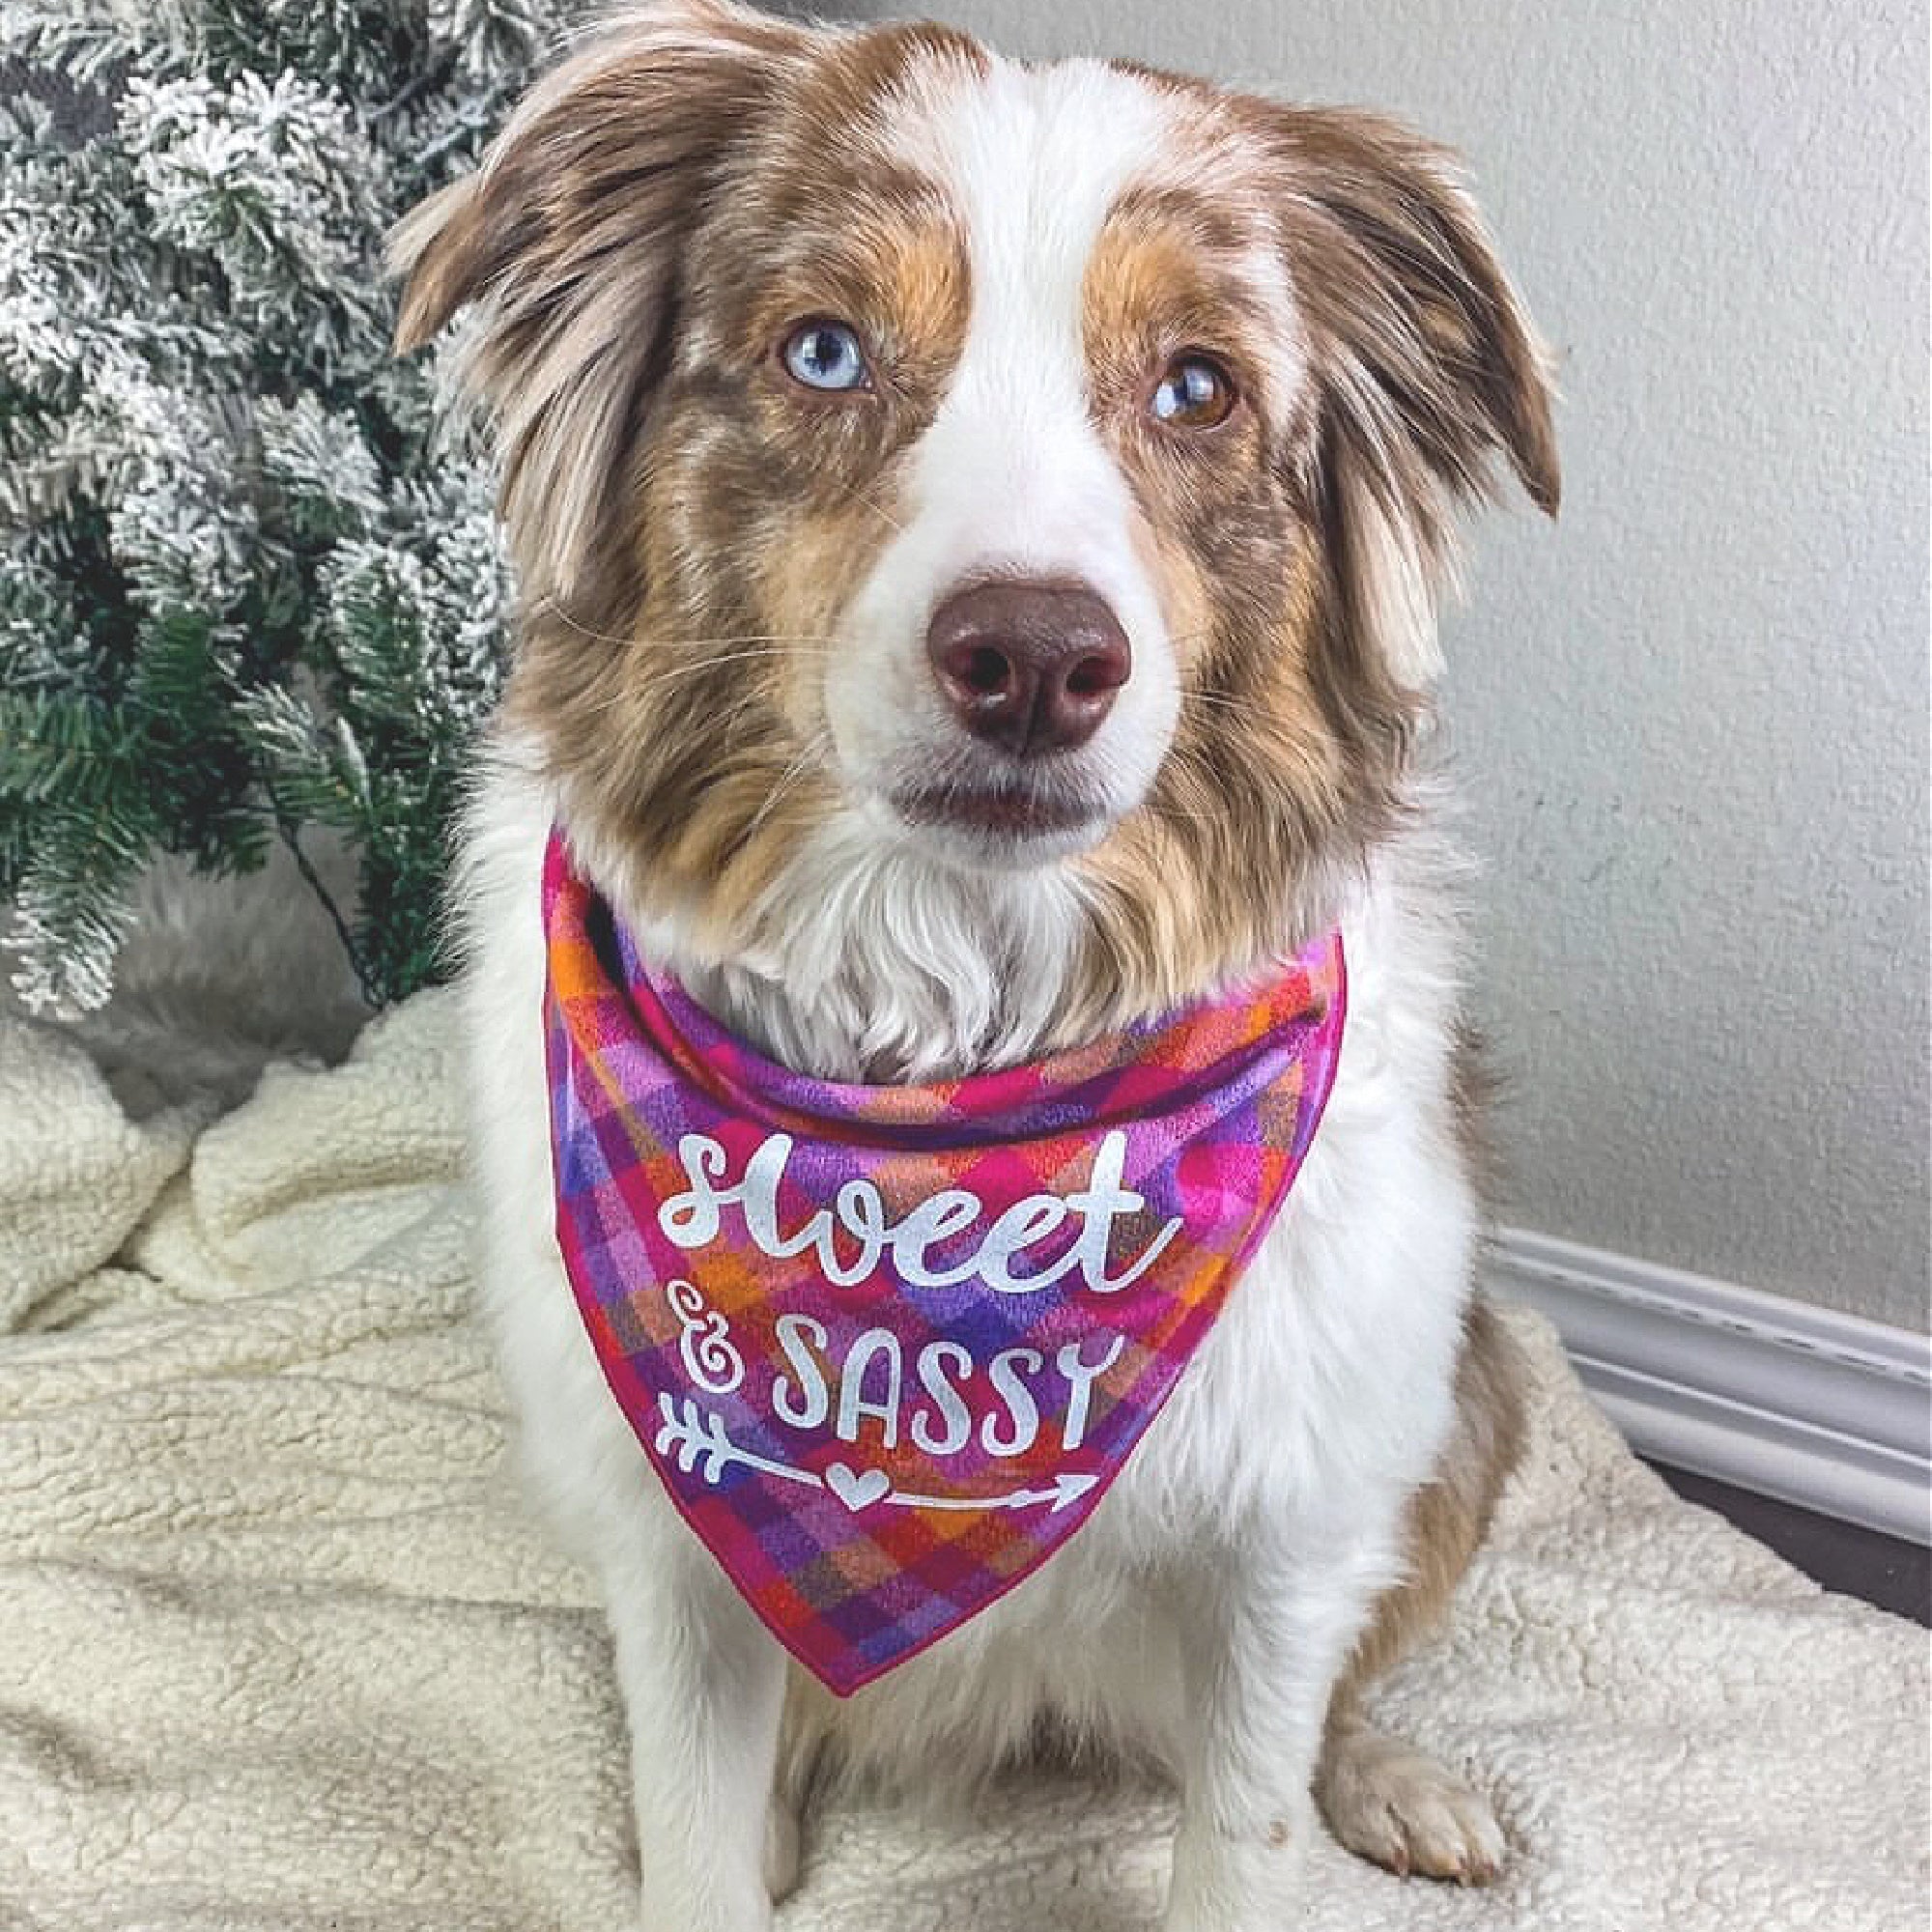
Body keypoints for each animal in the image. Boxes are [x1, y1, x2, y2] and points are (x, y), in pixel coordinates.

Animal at [392, 7, 1553, 1924]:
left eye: (1197, 388)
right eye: (826, 350)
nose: (1032, 658)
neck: (956, 1057)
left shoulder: (1290, 1528)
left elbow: (1248, 1823)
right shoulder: (675, 1527)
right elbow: (695, 1822)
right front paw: (717, 1841)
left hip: (1471, 1403)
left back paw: (1391, 1781)